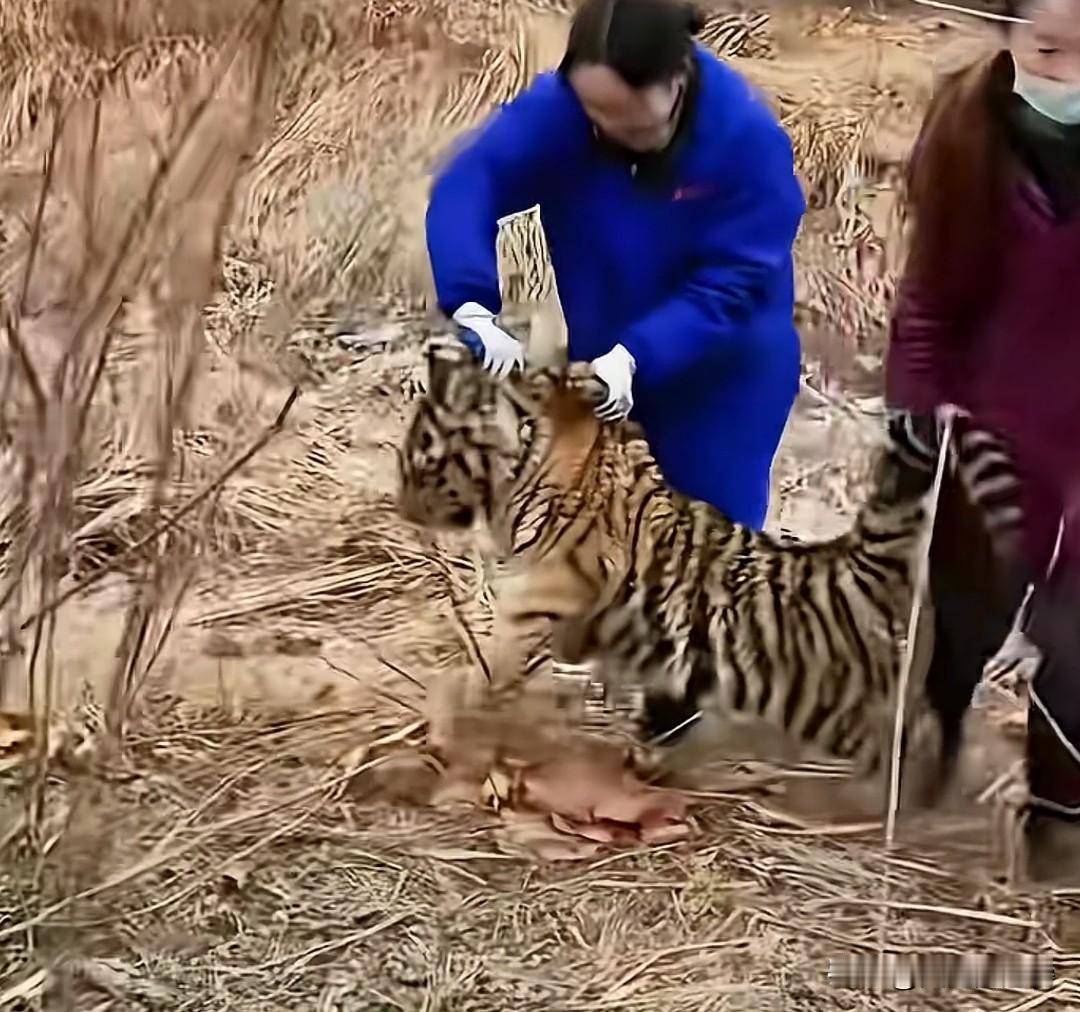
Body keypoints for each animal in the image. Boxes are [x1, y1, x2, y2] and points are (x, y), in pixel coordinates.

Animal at [396, 338, 1025, 806]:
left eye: (416, 455)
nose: (401, 504)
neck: (527, 451)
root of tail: (859, 560)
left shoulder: (539, 596)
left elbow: (477, 674)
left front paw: (444, 727)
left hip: (861, 717)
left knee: (929, 751)